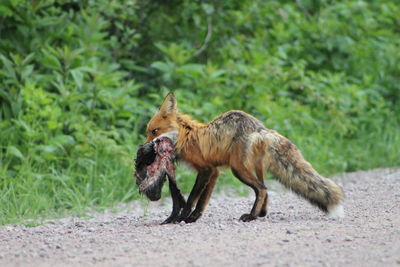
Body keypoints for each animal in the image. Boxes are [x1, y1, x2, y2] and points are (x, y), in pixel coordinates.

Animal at [145, 93, 346, 223]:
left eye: (154, 131)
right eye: (147, 132)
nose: (144, 146)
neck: (185, 137)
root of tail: (260, 129)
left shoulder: (206, 169)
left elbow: (193, 197)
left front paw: (182, 217)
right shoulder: (214, 172)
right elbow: (203, 201)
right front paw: (193, 218)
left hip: (239, 170)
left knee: (262, 189)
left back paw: (251, 216)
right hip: (254, 168)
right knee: (264, 189)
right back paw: (261, 213)